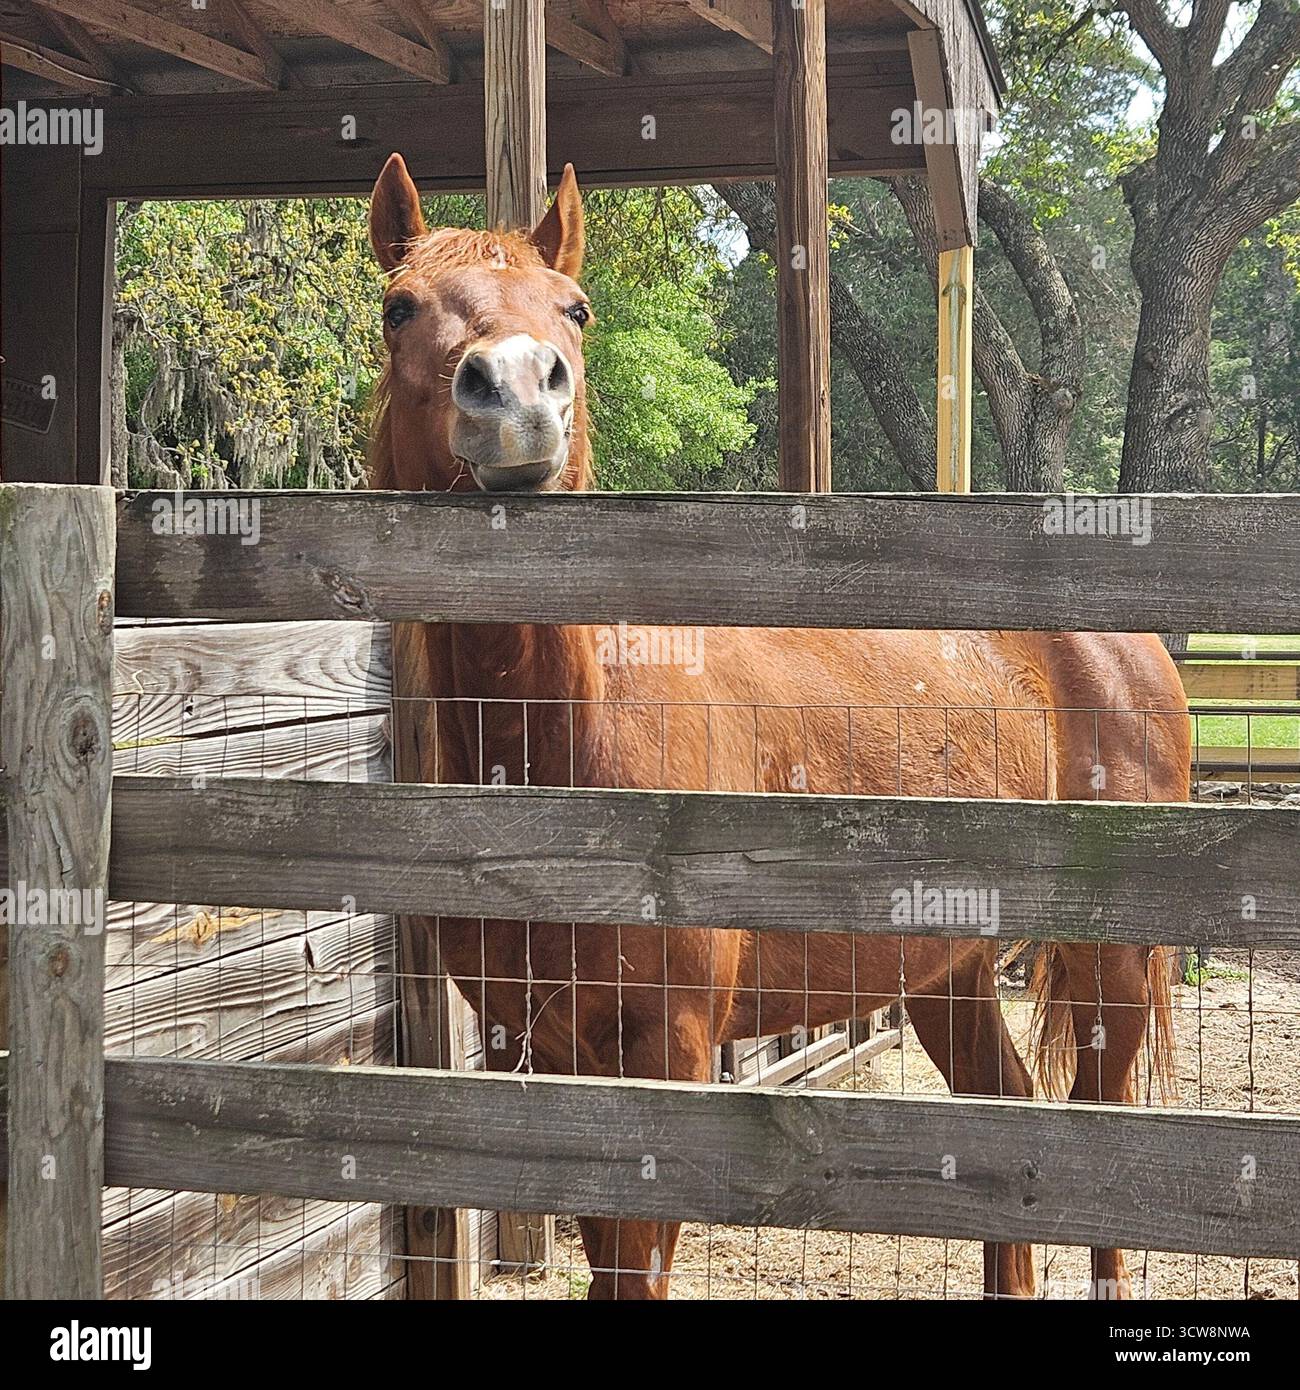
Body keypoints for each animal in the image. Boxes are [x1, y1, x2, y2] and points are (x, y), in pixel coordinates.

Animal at [366, 152, 1187, 1300]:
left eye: (575, 307)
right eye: (399, 307)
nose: (520, 392)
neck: (574, 750)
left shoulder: (667, 1053)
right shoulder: (552, 1056)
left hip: (1112, 963)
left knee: (1099, 1143)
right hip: (949, 971)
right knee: (1008, 1120)